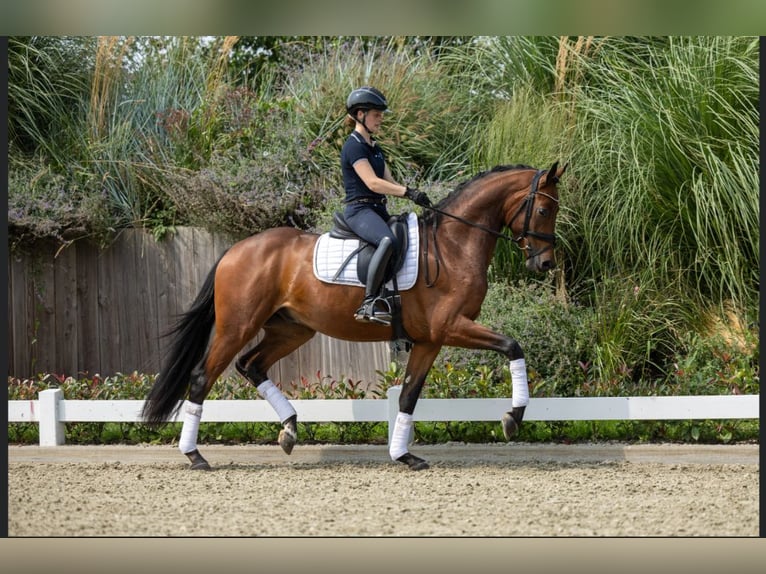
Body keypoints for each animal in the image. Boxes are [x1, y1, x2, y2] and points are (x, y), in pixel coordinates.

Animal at [141, 161, 566, 471]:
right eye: (545, 209)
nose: (545, 264)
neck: (452, 246)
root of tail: (235, 250)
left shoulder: (430, 340)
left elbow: (408, 395)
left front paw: (403, 455)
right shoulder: (451, 328)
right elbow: (513, 346)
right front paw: (513, 418)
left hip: (292, 330)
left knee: (252, 365)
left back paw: (289, 430)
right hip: (238, 326)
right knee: (203, 377)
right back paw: (195, 455)